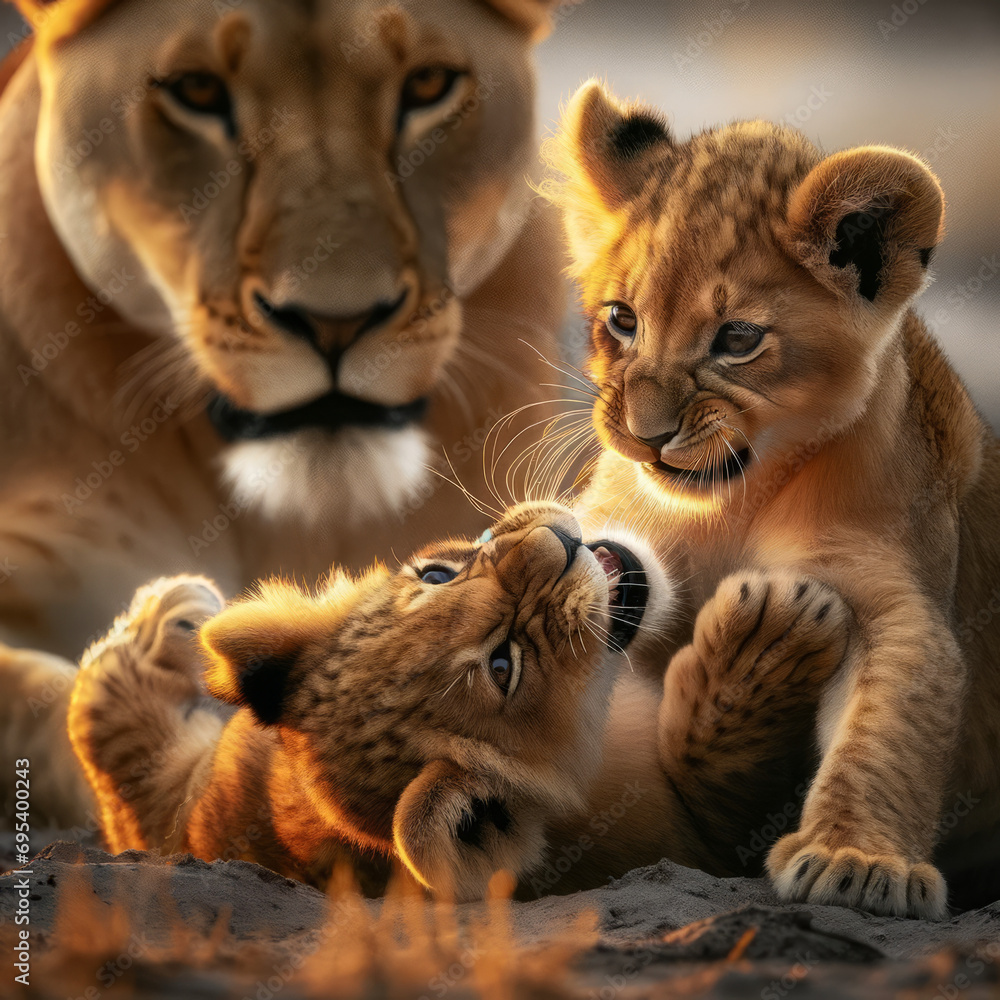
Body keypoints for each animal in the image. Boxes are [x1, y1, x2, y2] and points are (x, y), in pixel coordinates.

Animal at [67, 501, 849, 901]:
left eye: (438, 575)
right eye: (504, 664)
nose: (557, 544)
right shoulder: (702, 844)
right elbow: (726, 777)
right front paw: (771, 630)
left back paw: (176, 616)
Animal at [542, 81, 1000, 917]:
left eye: (737, 339)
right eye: (622, 321)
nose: (645, 435)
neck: (729, 506)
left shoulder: (892, 596)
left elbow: (889, 724)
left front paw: (858, 859)